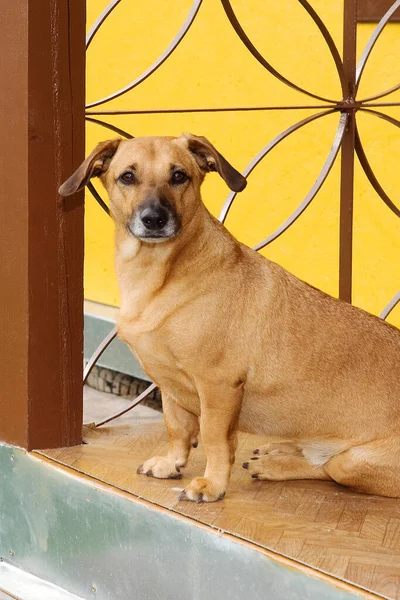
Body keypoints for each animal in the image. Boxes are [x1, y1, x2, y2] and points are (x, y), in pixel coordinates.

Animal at [59, 135, 400, 502]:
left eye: (178, 176)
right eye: (127, 177)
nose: (154, 219)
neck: (162, 274)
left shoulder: (219, 387)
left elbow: (213, 439)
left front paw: (213, 484)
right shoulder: (169, 386)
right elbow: (177, 428)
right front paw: (172, 463)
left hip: (351, 463)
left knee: (328, 468)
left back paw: (275, 465)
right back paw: (279, 453)